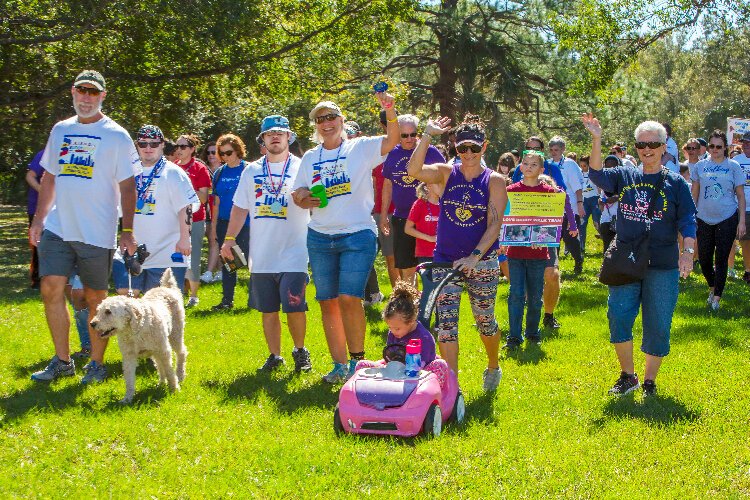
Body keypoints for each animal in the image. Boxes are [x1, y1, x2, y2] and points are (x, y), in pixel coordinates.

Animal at [90, 270, 188, 402]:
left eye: (108, 312)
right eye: (98, 311)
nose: (92, 324)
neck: (135, 330)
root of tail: (165, 287)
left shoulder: (164, 351)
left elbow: (169, 370)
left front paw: (174, 389)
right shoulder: (129, 356)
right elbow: (129, 379)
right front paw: (127, 398)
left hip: (175, 335)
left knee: (181, 353)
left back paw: (180, 375)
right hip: (156, 351)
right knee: (159, 365)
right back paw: (161, 383)